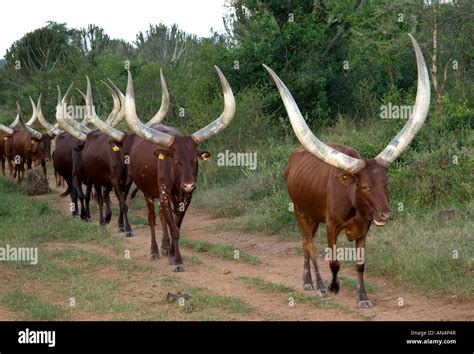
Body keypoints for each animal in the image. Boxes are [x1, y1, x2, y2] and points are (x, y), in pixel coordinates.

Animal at [264, 34, 432, 308]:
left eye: (387, 184)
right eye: (363, 186)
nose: (386, 215)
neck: (353, 200)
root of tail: (293, 158)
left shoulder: (365, 227)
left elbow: (361, 264)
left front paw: (363, 298)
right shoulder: (332, 225)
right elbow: (333, 260)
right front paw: (333, 287)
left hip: (312, 216)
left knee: (304, 243)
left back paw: (308, 281)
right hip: (300, 211)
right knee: (309, 244)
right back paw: (319, 285)